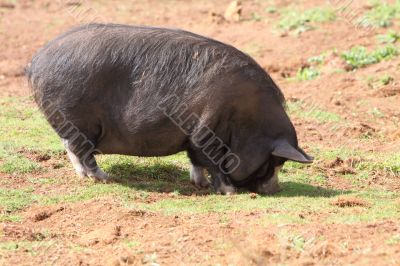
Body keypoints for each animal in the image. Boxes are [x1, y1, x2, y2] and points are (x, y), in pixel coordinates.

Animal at [26, 23, 314, 194]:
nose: (275, 190)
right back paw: (100, 177)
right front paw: (228, 192)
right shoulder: (206, 134)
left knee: (71, 147)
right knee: (79, 150)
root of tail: (35, 61)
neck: (249, 121)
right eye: (274, 163)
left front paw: (200, 184)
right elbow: (213, 163)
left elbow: (195, 160)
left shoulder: (196, 137)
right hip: (77, 121)